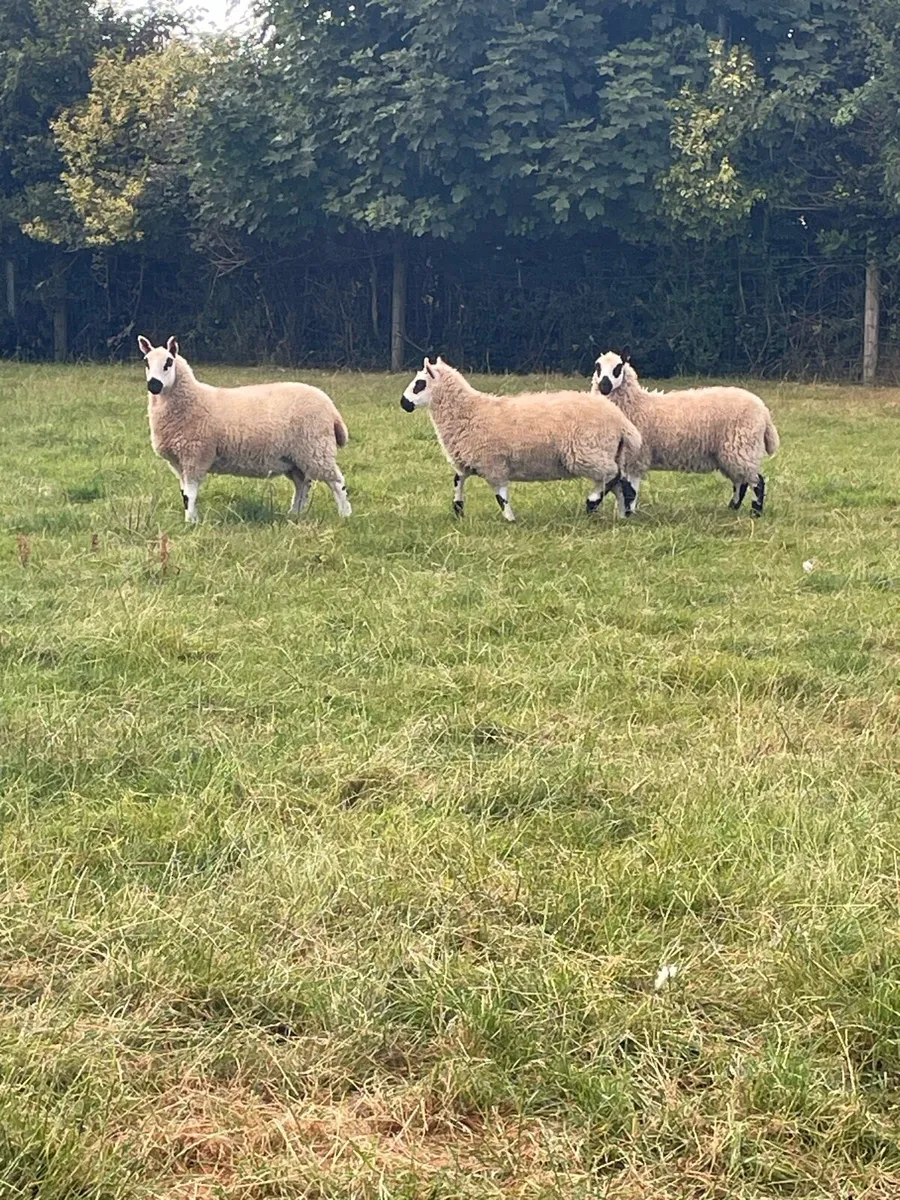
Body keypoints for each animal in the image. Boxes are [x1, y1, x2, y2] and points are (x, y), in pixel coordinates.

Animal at [137, 336, 350, 522]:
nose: (154, 385)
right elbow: (184, 494)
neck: (192, 399)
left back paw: (345, 515)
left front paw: (190, 522)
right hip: (295, 457)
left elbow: (190, 494)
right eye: (146, 362)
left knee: (337, 482)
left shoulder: (196, 455)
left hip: (316, 448)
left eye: (168, 362)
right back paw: (294, 514)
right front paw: (192, 518)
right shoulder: (179, 462)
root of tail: (331, 408)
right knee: (302, 484)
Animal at [400, 356, 645, 521]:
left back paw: (592, 502)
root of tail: (622, 422)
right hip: (606, 453)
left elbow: (500, 495)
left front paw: (510, 519)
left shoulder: (493, 463)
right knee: (620, 483)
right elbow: (457, 480)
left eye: (420, 383)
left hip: (589, 453)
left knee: (612, 476)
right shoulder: (469, 461)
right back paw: (622, 514)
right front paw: (458, 509)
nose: (404, 403)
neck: (469, 412)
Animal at [590, 348, 779, 517]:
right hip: (732, 452)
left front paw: (628, 513)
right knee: (741, 482)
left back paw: (755, 512)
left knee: (757, 482)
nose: (604, 386)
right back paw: (732, 508)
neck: (637, 404)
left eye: (618, 367)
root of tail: (764, 411)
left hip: (742, 447)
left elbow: (631, 489)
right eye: (597, 366)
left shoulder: (636, 457)